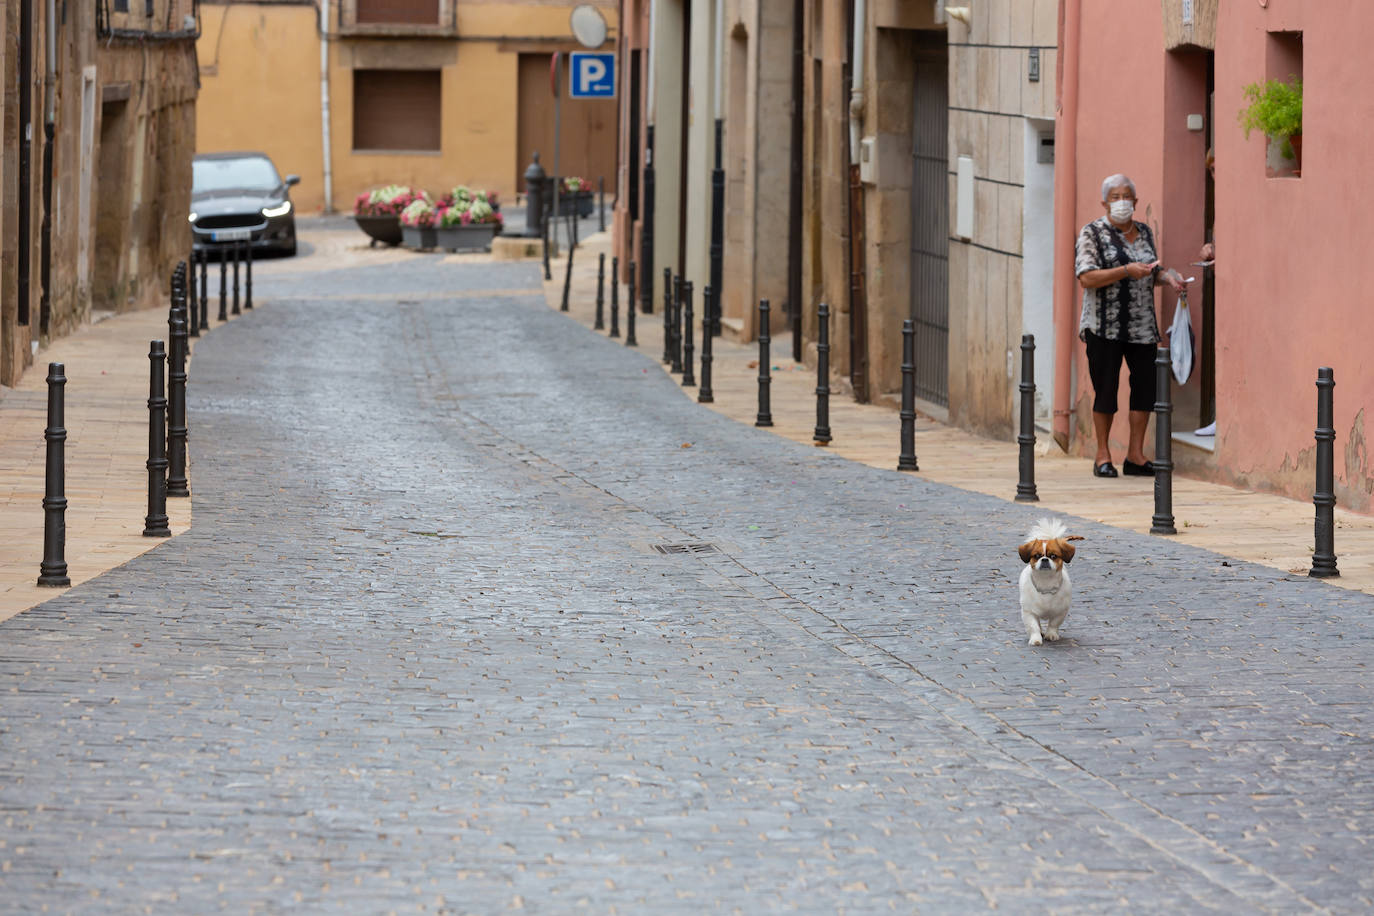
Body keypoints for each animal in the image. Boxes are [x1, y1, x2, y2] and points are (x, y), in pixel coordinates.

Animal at [1016, 519, 1077, 648]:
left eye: (1053, 556)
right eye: (1037, 556)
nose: (1044, 559)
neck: (1045, 583)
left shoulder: (1060, 611)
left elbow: (1054, 624)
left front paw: (1051, 635)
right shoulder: (1028, 612)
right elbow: (1033, 627)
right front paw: (1036, 639)